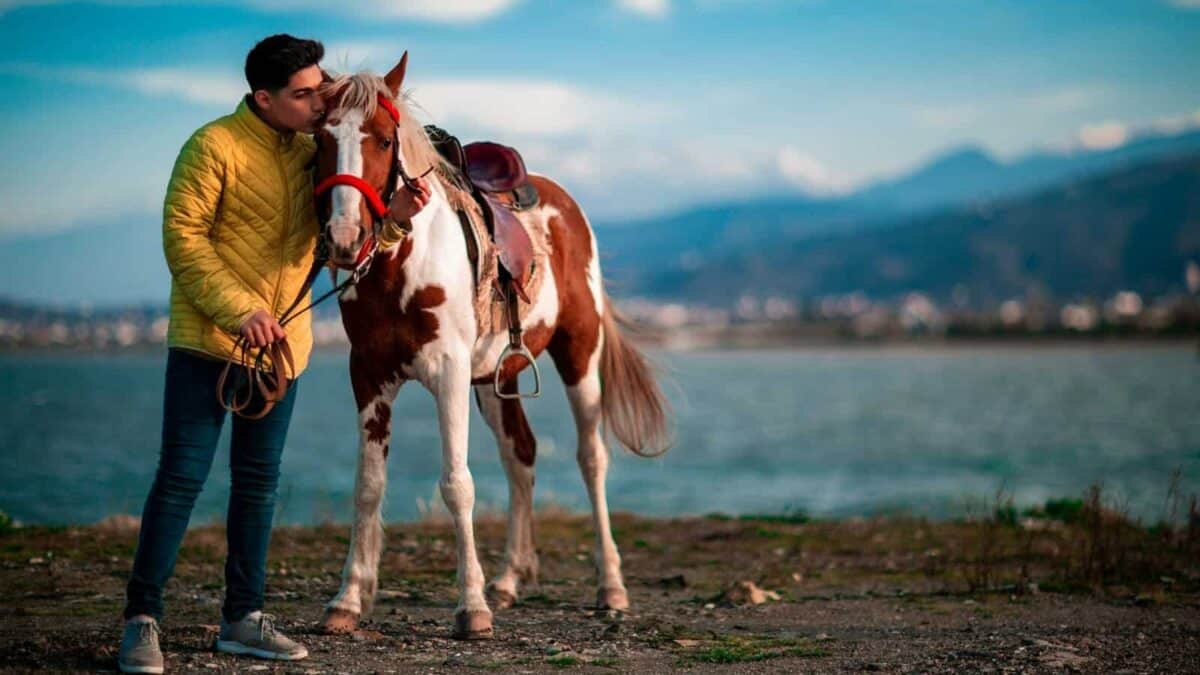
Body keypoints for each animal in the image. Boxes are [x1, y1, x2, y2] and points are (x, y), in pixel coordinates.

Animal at [311, 53, 671, 639]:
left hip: (579, 354)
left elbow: (457, 484)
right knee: (519, 454)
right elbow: (368, 485)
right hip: (496, 378)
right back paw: (509, 579)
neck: (404, 263)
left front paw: (471, 607)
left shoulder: (449, 372)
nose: (345, 237)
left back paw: (610, 586)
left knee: (591, 458)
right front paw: (347, 599)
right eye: (320, 137)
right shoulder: (367, 374)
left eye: (385, 139)